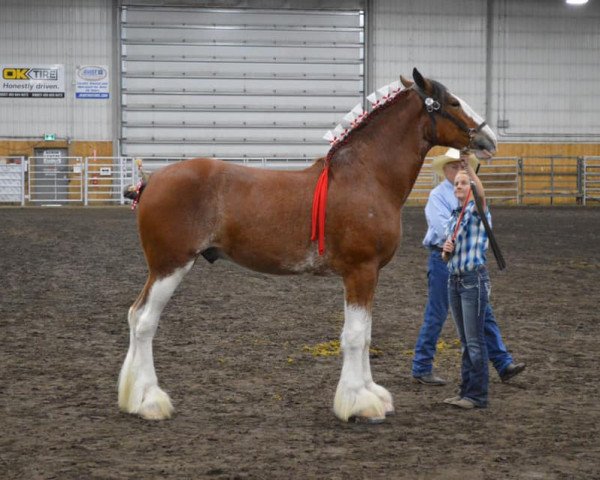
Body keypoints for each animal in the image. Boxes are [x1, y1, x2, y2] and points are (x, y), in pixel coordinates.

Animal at [118, 68, 496, 424]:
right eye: (453, 103)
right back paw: (150, 401)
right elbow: (355, 336)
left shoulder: (368, 275)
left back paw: (132, 399)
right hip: (170, 266)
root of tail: (151, 182)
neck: (366, 177)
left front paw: (372, 394)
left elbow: (366, 335)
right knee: (145, 321)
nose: (489, 139)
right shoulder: (360, 271)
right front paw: (359, 404)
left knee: (135, 316)